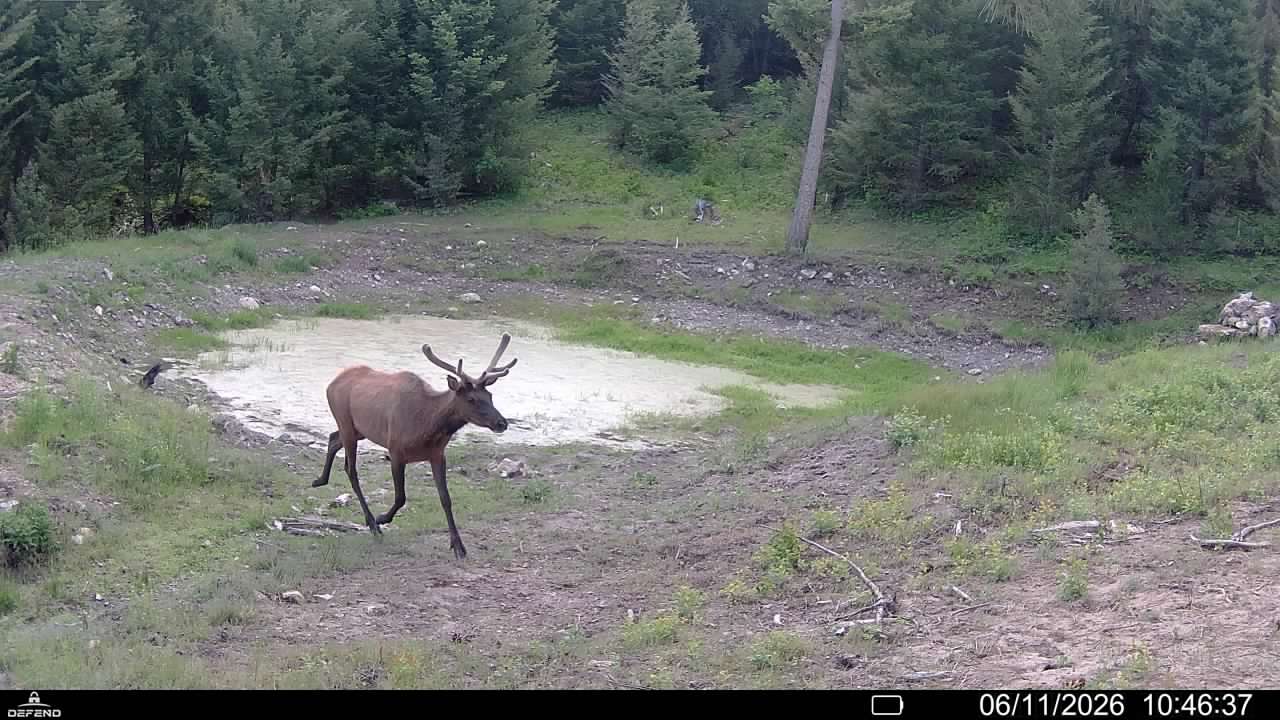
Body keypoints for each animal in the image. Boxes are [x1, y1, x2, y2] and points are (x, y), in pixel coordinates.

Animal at [312, 333, 519, 560]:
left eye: (490, 396)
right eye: (472, 399)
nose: (502, 423)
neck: (426, 426)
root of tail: (331, 383)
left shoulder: (437, 454)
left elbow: (445, 498)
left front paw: (458, 546)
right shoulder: (395, 450)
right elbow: (401, 497)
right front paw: (382, 518)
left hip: (358, 429)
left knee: (333, 438)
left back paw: (320, 480)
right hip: (346, 422)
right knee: (351, 469)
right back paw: (372, 524)